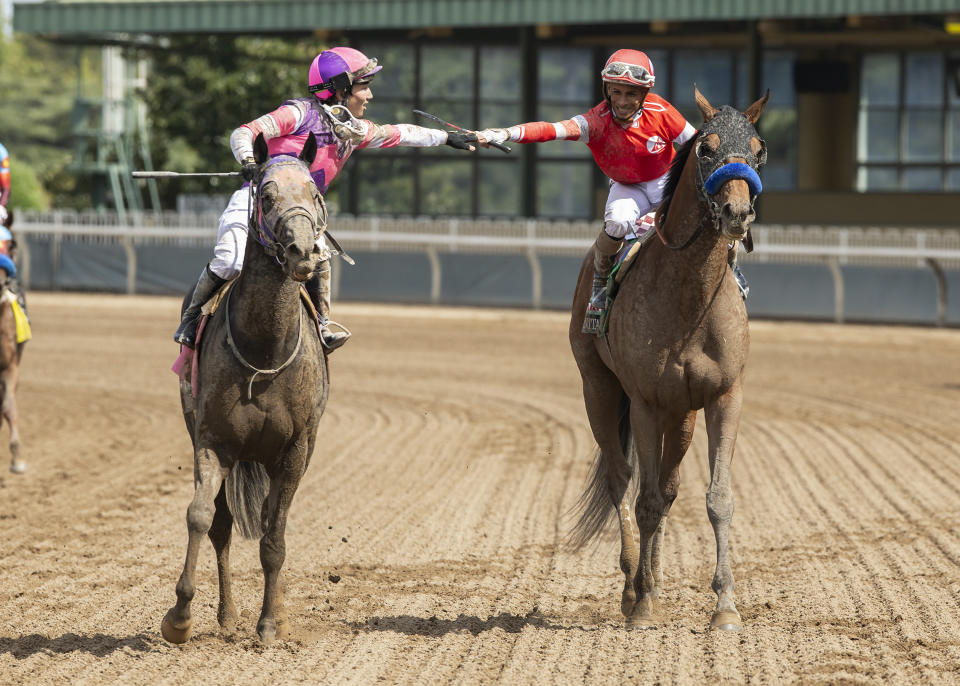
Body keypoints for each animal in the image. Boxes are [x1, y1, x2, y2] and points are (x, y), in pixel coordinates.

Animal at [161, 132, 330, 648]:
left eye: (315, 196)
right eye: (268, 195)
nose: (303, 252)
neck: (265, 350)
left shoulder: (296, 449)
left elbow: (274, 537)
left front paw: (272, 623)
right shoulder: (213, 441)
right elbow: (201, 517)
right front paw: (180, 616)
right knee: (221, 524)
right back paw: (227, 615)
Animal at [568, 87, 764, 636]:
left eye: (759, 150)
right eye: (706, 149)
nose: (737, 211)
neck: (690, 298)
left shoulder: (724, 397)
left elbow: (717, 499)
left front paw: (725, 606)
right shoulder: (645, 402)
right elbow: (646, 499)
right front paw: (642, 606)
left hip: (683, 415)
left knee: (671, 488)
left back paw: (651, 581)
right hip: (599, 388)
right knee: (621, 481)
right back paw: (632, 586)